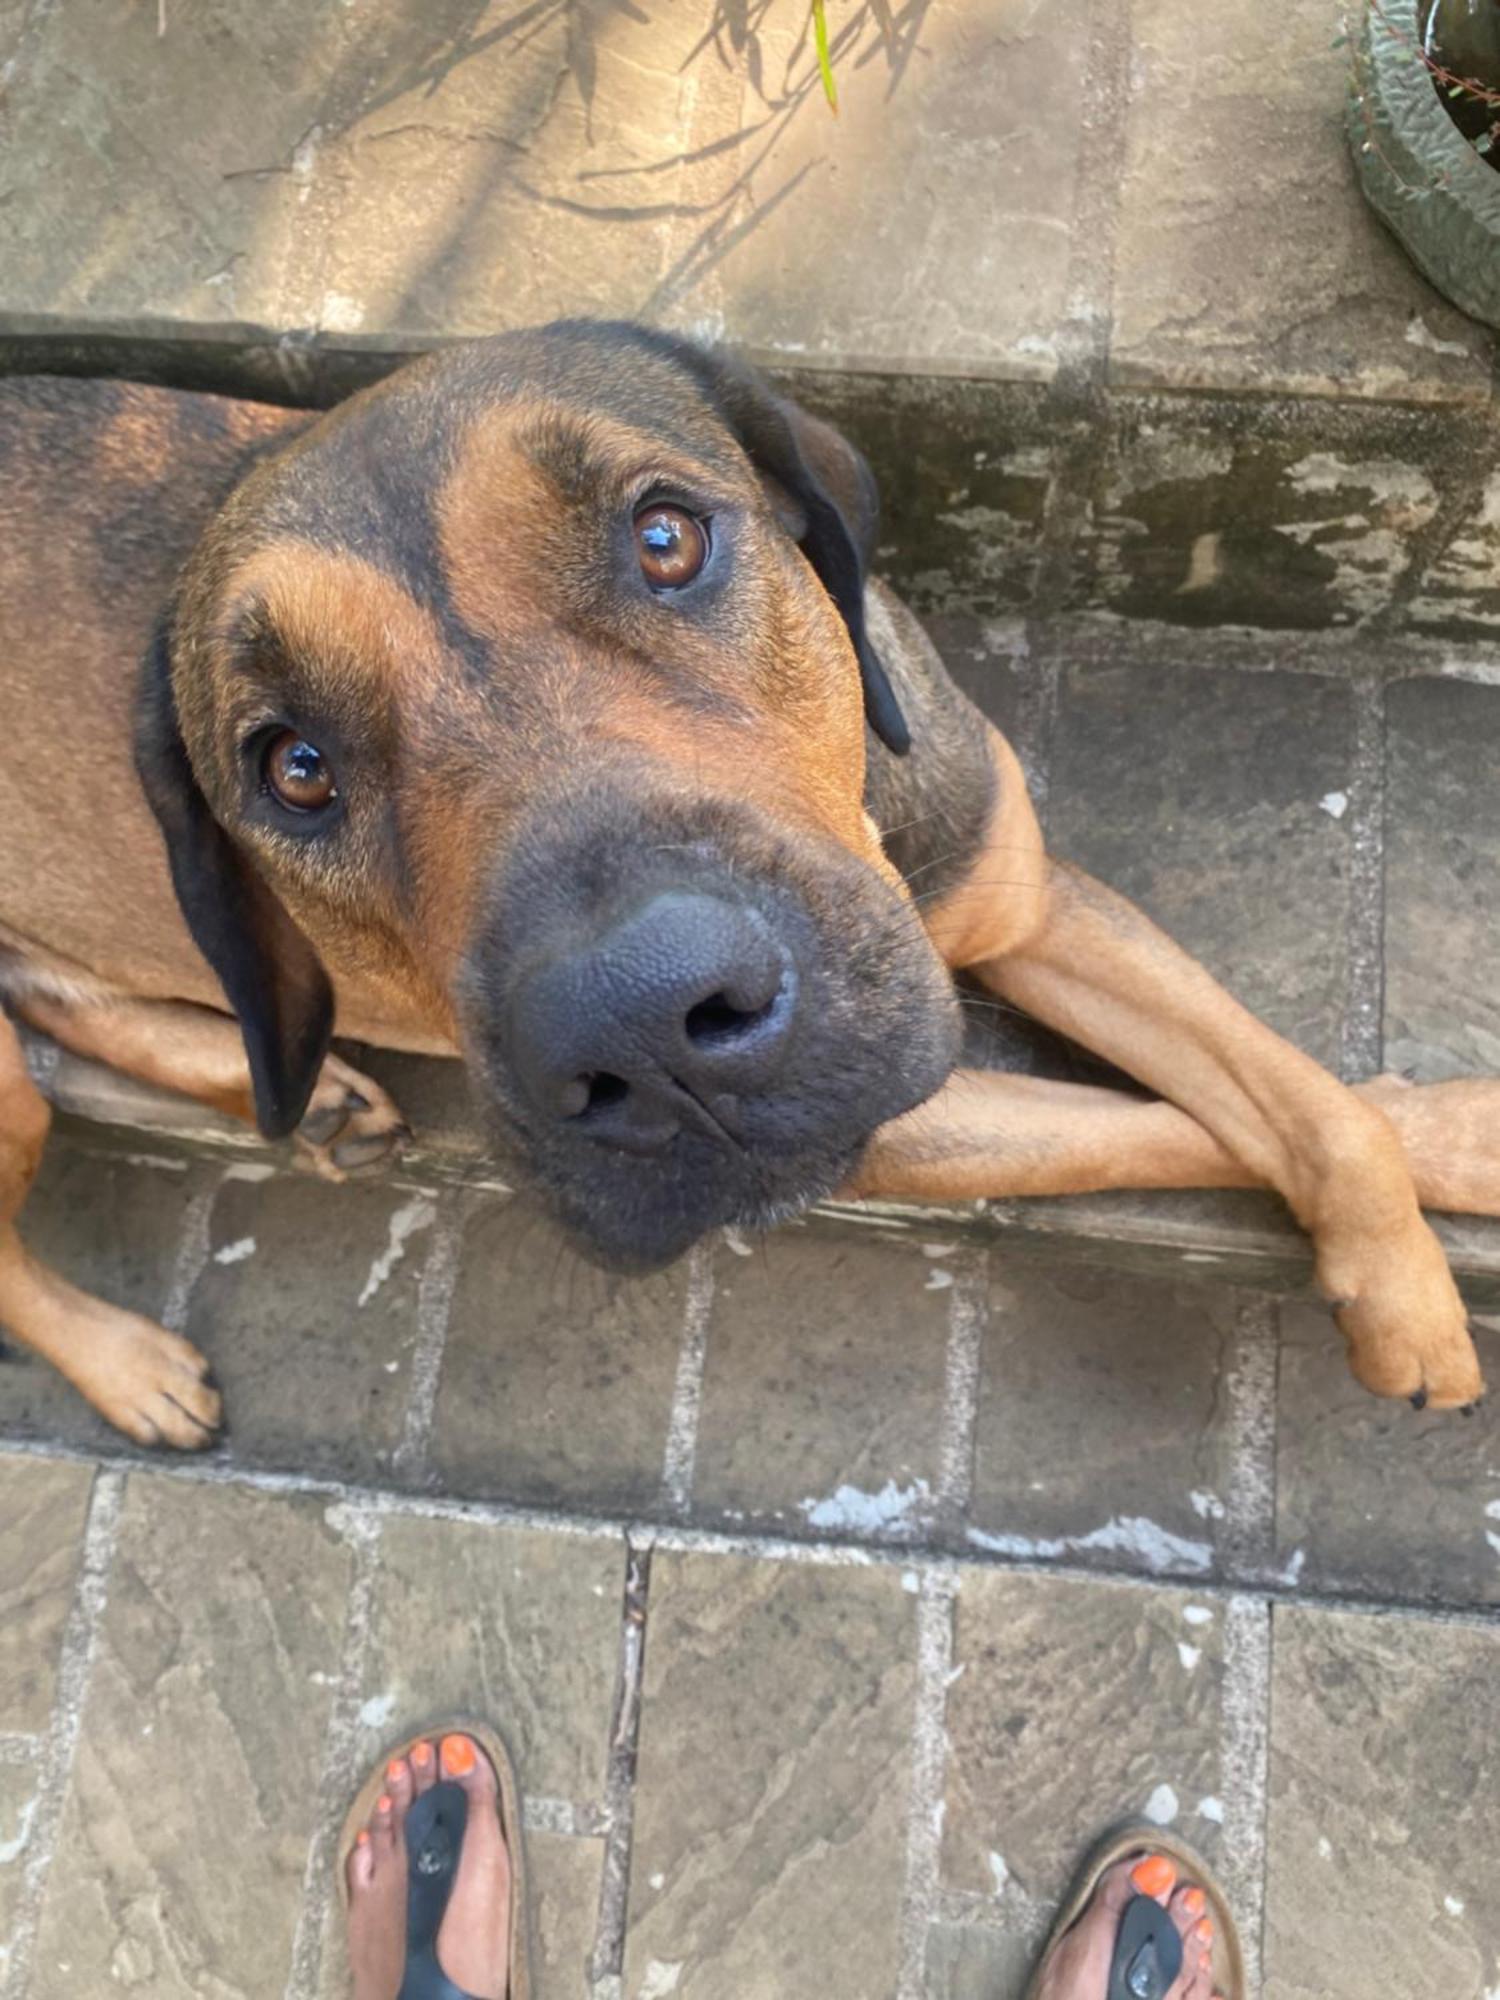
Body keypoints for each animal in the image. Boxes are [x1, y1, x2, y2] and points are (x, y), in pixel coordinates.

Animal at [2, 324, 1500, 1456]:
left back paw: (309, 1103)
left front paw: (1420, 1224)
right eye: (294, 767)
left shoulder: (1020, 894)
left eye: (666, 537)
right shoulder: (889, 1123)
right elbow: (1147, 1126)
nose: (639, 1029)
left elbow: (1295, 1092)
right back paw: (129, 1362)